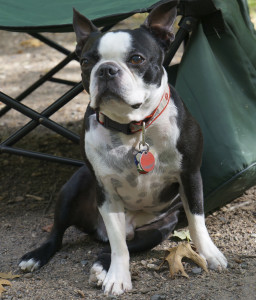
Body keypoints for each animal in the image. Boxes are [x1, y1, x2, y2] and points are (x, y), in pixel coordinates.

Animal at [21, 0, 227, 296]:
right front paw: (118, 277)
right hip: (72, 189)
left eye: (137, 59)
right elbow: (119, 245)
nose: (106, 69)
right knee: (63, 235)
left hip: (158, 230)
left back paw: (100, 266)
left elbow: (197, 220)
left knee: (115, 247)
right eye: (86, 62)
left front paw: (210, 254)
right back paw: (38, 256)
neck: (133, 128)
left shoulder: (190, 175)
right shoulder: (106, 192)